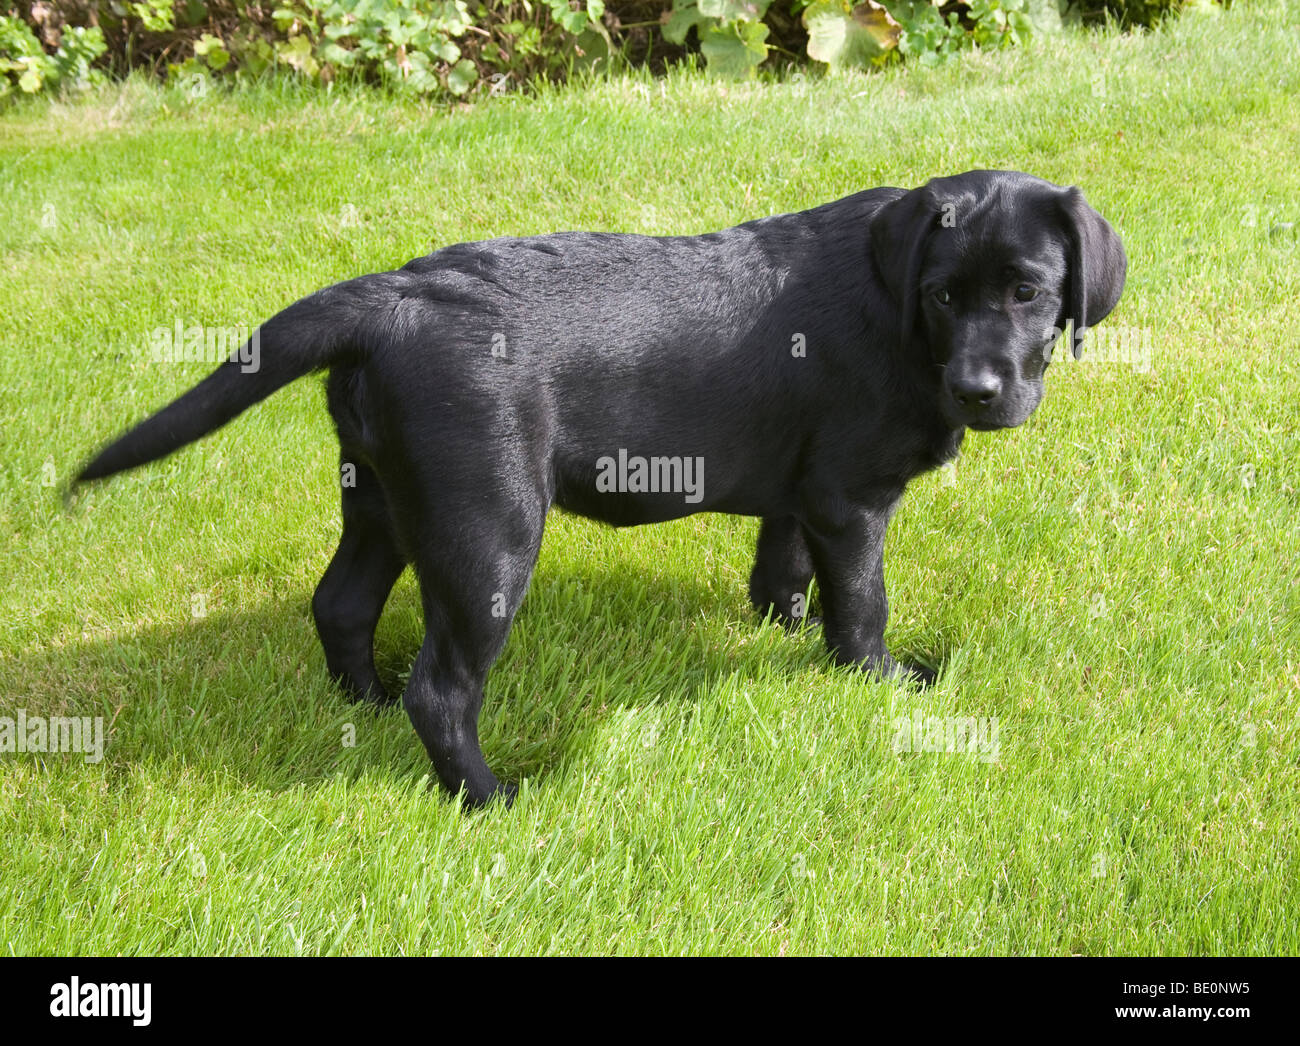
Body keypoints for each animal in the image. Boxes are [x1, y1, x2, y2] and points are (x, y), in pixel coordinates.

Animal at [76, 171, 1123, 805]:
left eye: (1028, 291)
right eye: (945, 295)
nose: (979, 391)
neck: (894, 304)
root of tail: (390, 296)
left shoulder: (802, 489)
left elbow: (783, 572)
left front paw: (781, 637)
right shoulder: (853, 498)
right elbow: (862, 602)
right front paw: (879, 681)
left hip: (380, 495)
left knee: (340, 605)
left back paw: (360, 706)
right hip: (487, 528)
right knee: (441, 690)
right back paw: (489, 798)